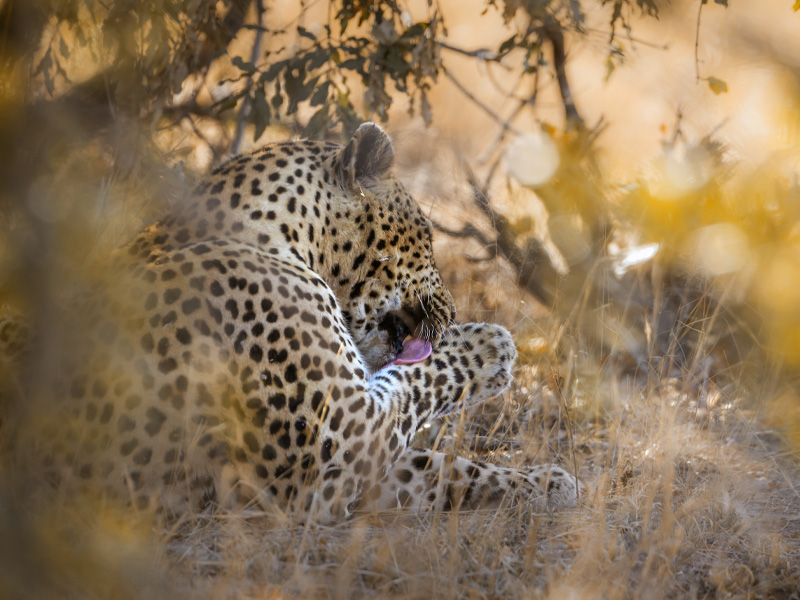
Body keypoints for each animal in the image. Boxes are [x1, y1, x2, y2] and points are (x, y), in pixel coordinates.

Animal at [20, 124, 580, 524]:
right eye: (427, 234)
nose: (454, 311)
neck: (283, 234)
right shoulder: (338, 442)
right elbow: (419, 379)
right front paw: (488, 347)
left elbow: (441, 465)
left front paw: (549, 483)